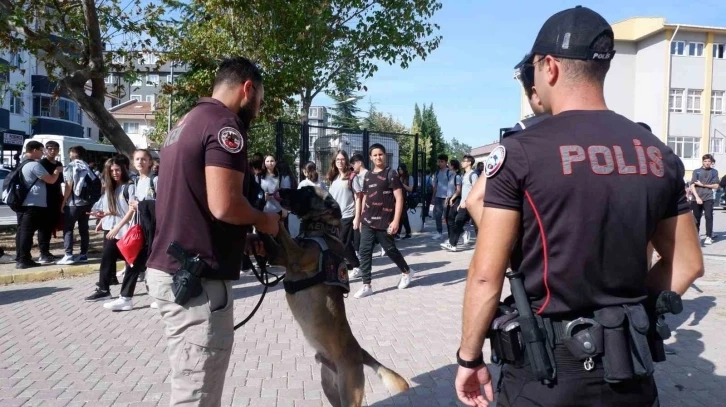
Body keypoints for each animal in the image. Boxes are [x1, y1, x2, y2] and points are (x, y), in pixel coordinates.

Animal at [258, 186, 412, 406]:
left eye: (307, 191)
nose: (280, 189)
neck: (321, 229)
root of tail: (360, 351)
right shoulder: (280, 256)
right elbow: (273, 242)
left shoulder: (296, 256)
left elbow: (281, 230)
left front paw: (270, 216)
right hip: (330, 388)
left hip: (349, 393)